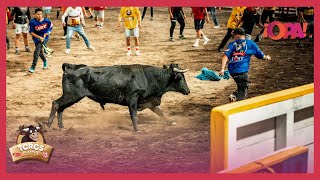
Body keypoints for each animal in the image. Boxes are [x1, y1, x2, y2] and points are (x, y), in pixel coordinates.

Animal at [47, 63, 190, 131]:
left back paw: (61, 127)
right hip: (72, 95)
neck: (148, 77)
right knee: (56, 104)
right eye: (179, 77)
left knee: (61, 108)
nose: (188, 91)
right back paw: (48, 125)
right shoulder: (133, 98)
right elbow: (133, 115)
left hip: (71, 97)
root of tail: (70, 66)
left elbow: (160, 112)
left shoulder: (148, 100)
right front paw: (137, 130)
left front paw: (171, 122)